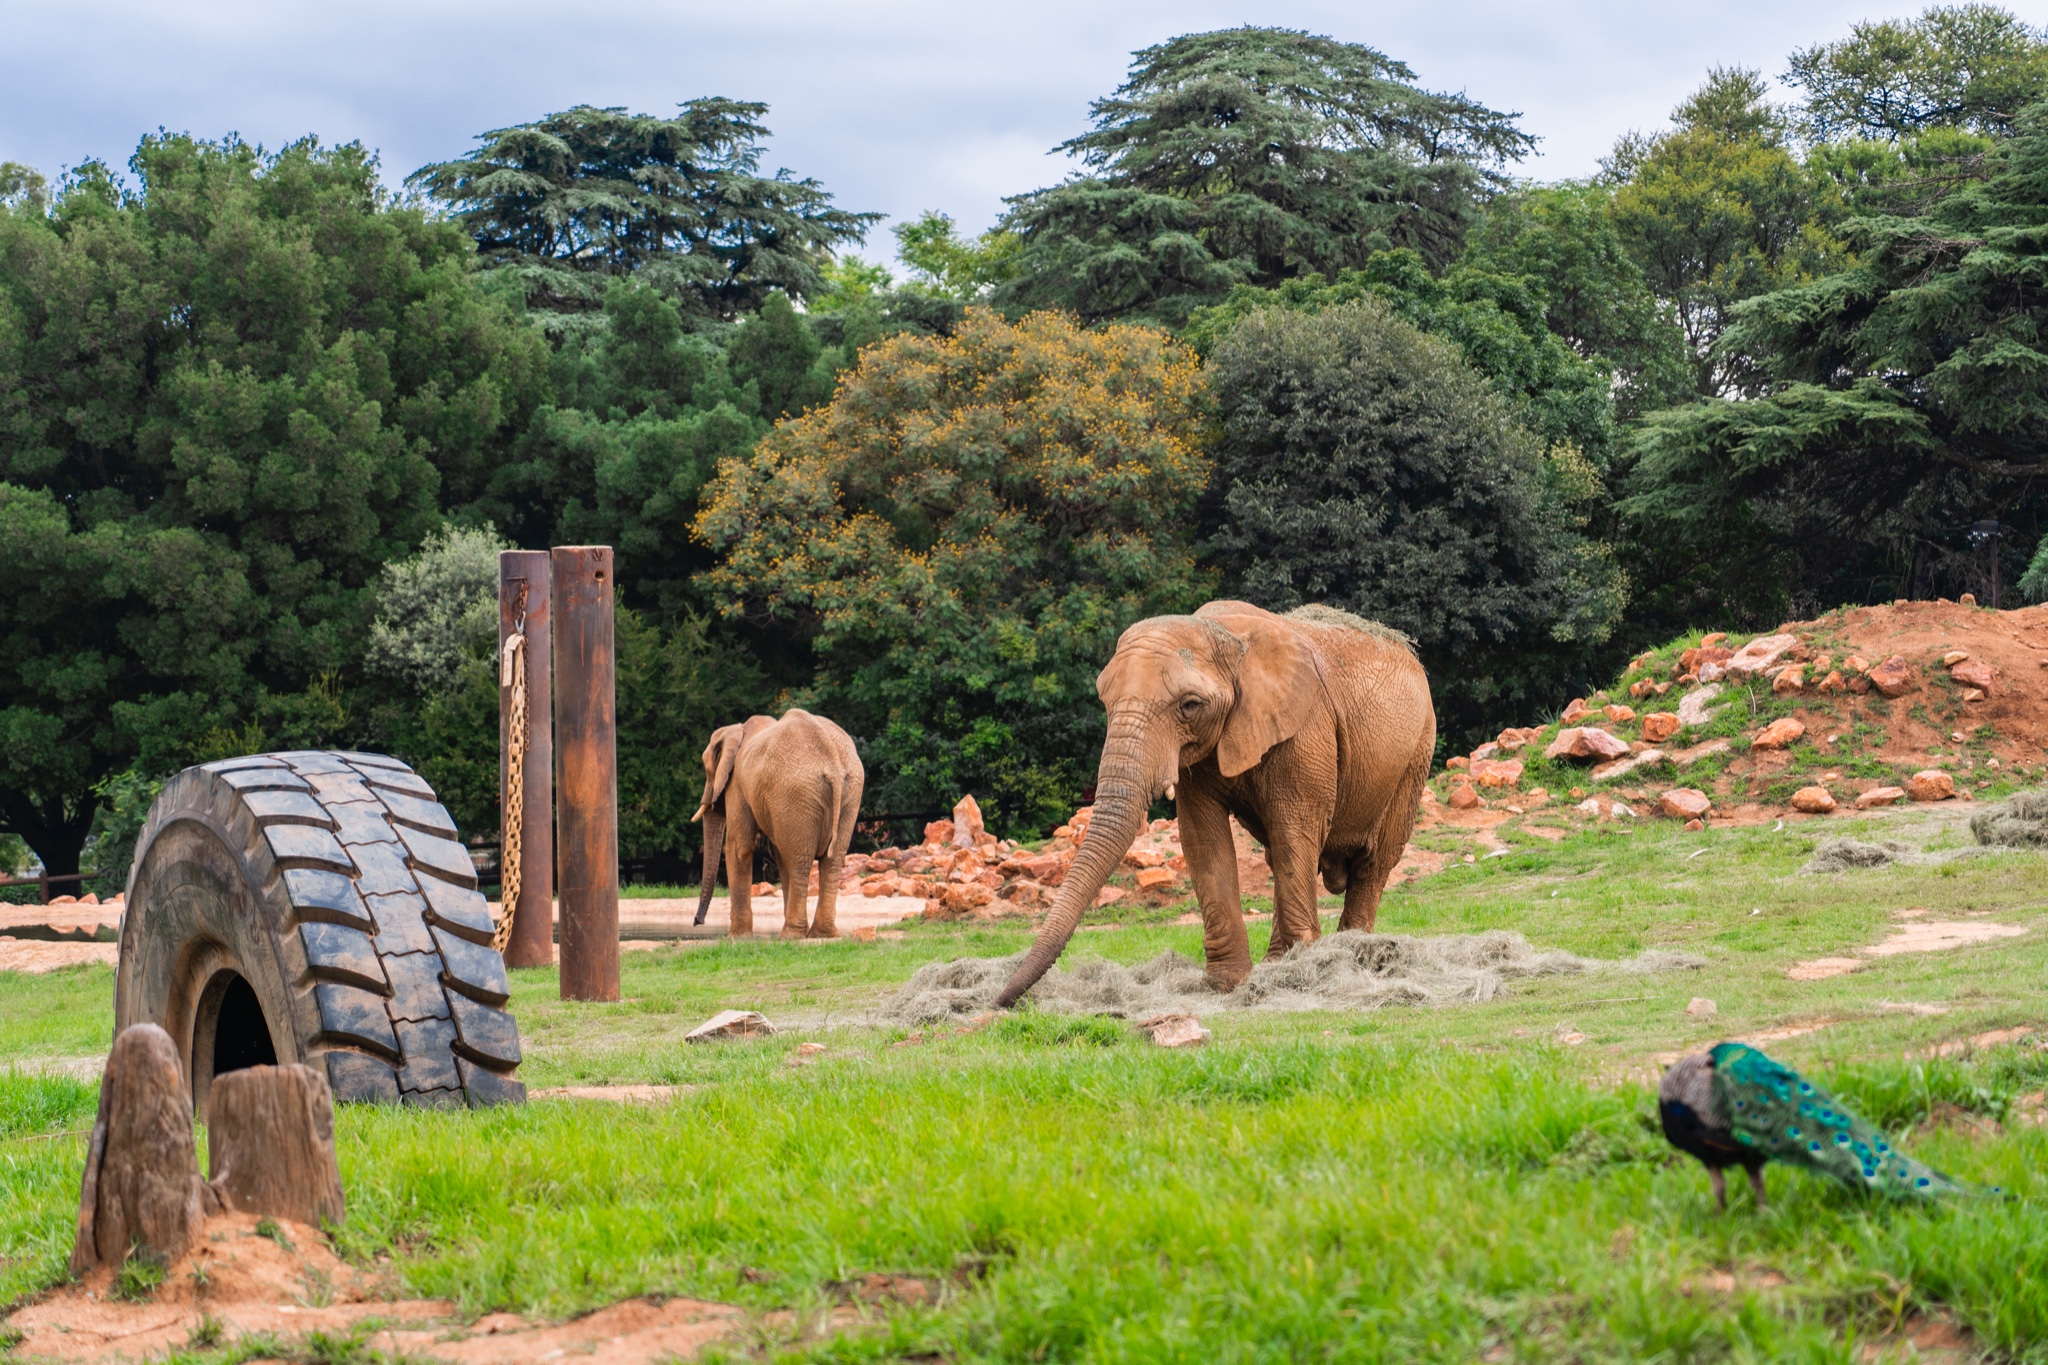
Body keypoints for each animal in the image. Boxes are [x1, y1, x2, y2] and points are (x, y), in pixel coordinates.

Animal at [692, 703, 860, 941]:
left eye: (707, 770)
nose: (697, 922)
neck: (737, 730)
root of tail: (833, 763)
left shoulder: (738, 784)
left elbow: (739, 848)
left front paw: (736, 938)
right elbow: (777, 852)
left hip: (796, 793)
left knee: (799, 862)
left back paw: (790, 936)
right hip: (847, 792)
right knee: (831, 860)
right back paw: (821, 934)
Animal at [999, 601, 1433, 1010]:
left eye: (1190, 705)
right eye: (1105, 701)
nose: (1002, 1001)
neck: (1221, 632)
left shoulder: (1305, 729)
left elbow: (1295, 832)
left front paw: (1298, 977)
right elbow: (1204, 840)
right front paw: (1229, 985)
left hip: (1415, 756)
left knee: (1370, 864)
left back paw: (1351, 958)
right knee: (1281, 858)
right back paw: (1280, 963)